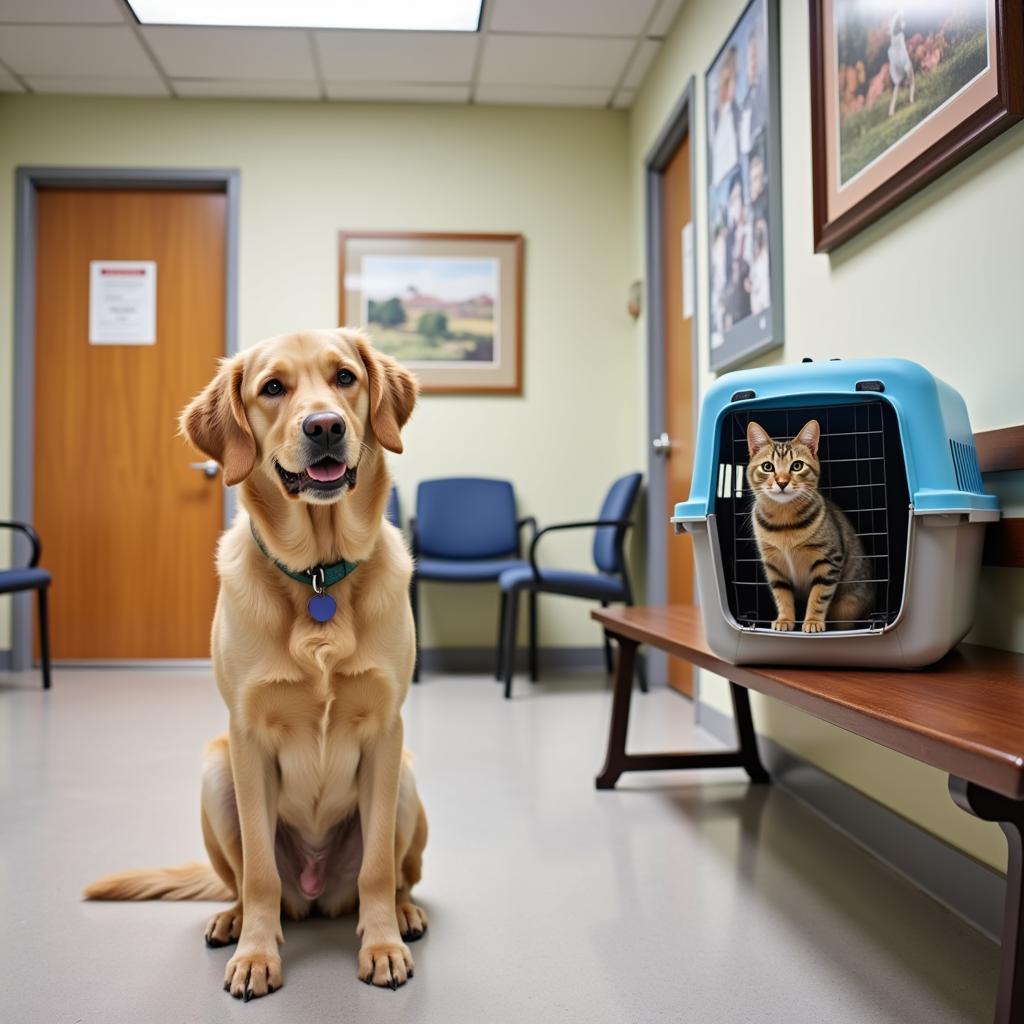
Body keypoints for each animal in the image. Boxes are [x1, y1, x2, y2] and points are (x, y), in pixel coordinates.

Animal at [81, 327, 428, 999]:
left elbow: (376, 867)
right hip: (216, 775)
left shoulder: (386, 731)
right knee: (245, 882)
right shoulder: (245, 737)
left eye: (345, 378)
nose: (325, 426)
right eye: (272, 388)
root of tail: (316, 894)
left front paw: (381, 947)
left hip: (404, 778)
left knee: (396, 875)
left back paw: (402, 914)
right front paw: (257, 957)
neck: (318, 573)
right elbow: (261, 872)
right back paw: (233, 921)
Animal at [745, 417, 872, 630]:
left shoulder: (828, 562)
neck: (784, 522)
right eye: (767, 467)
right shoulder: (774, 566)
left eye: (797, 466)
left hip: (848, 605)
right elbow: (782, 596)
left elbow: (818, 597)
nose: (782, 482)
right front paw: (785, 620)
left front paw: (812, 621)